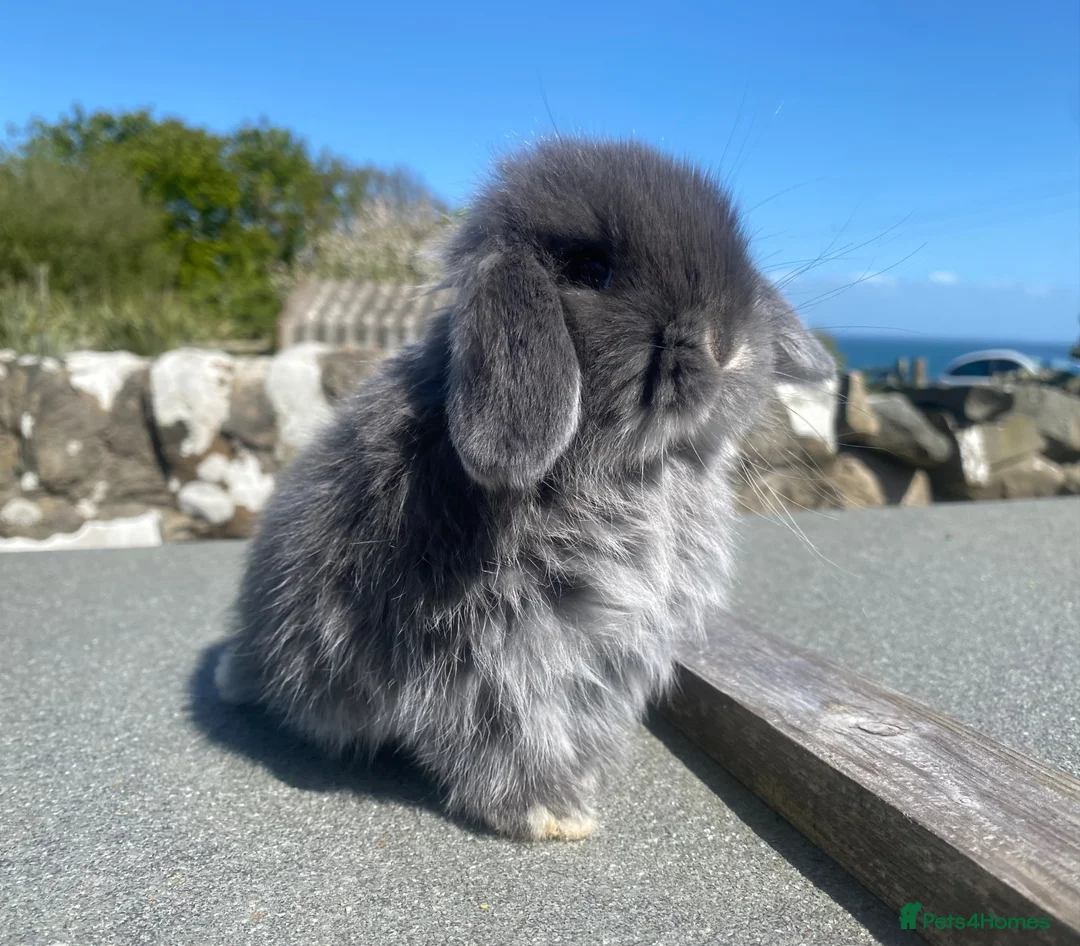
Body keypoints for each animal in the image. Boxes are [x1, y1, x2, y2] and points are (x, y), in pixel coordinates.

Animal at [214, 136, 835, 841]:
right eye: (591, 270)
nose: (725, 343)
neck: (640, 470)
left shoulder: (606, 656)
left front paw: (585, 782)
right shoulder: (499, 653)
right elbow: (507, 736)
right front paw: (555, 813)